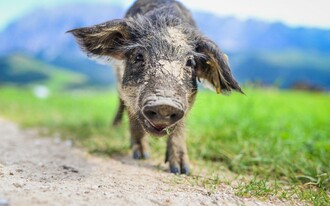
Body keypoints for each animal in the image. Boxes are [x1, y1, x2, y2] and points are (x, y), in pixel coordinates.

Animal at [68, 0, 244, 174]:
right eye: (138, 56)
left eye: (190, 62)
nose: (164, 105)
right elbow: (133, 117)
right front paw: (141, 156)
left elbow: (179, 127)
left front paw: (181, 170)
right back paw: (115, 128)